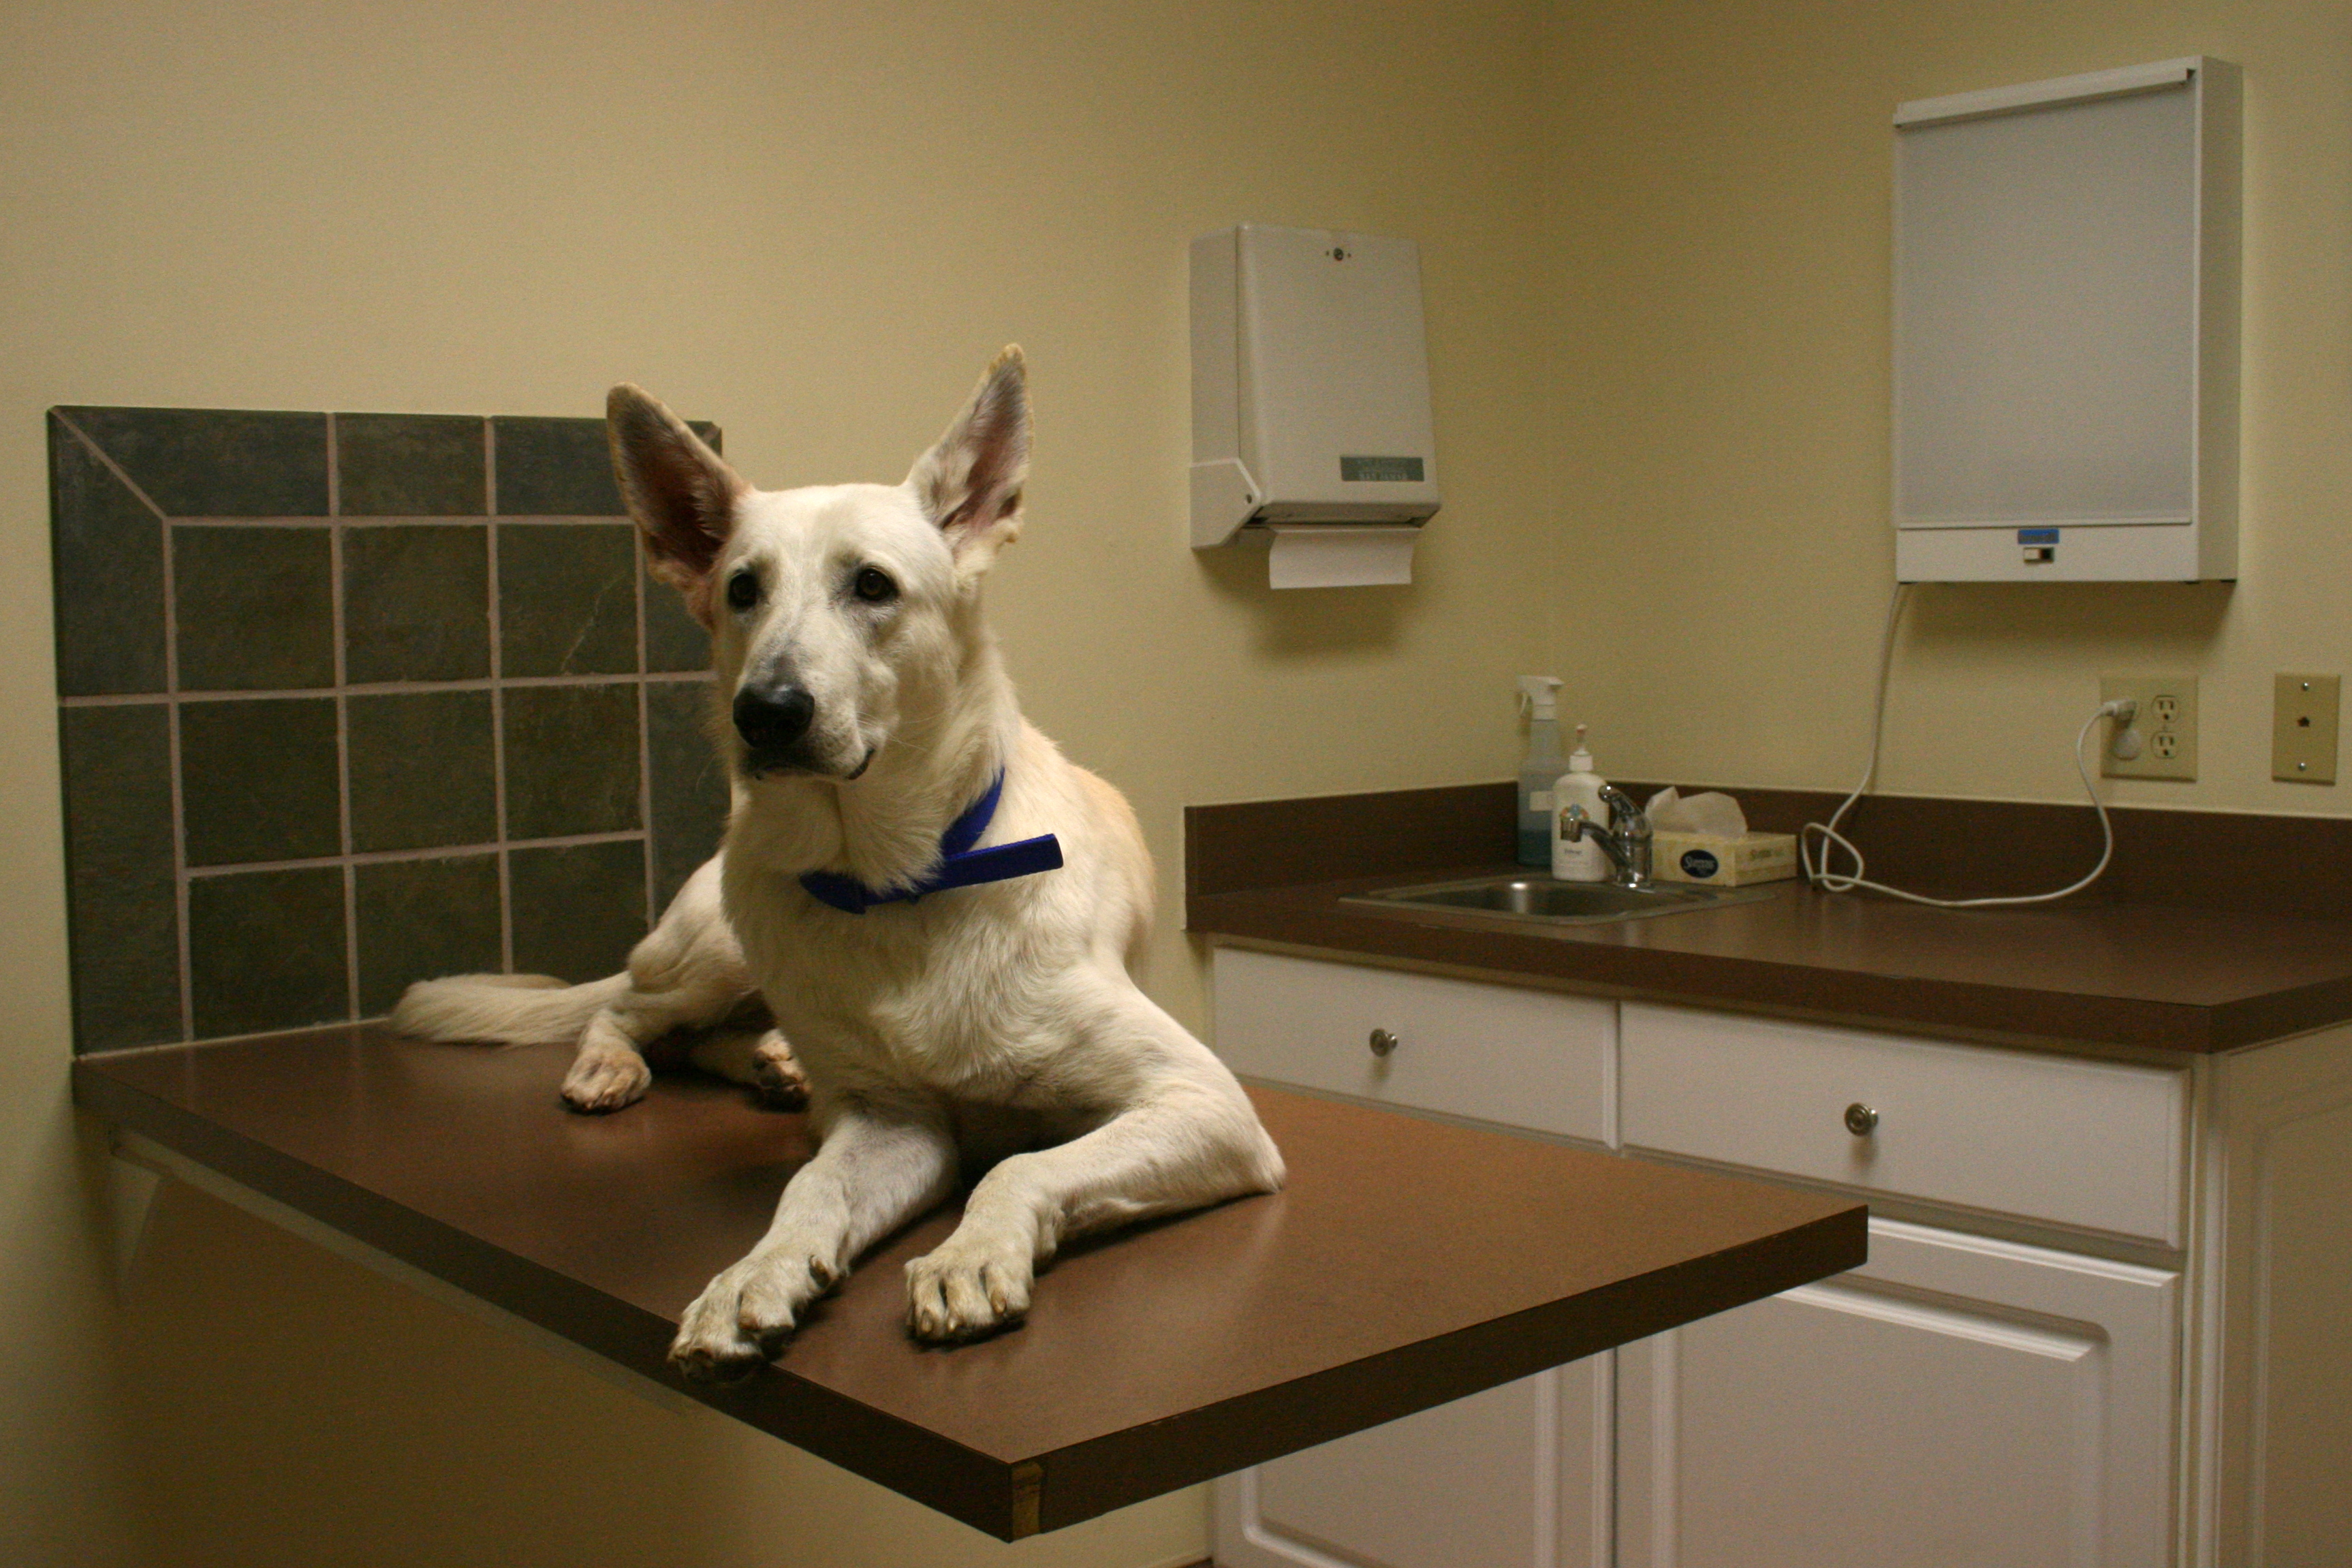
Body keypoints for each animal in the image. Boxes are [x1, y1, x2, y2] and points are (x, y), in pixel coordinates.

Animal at [404, 352, 1289, 1373]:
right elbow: (812, 1190)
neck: (895, 879)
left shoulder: (1202, 1101)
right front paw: (753, 1272)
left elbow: (1021, 1162)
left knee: (702, 1036)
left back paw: (772, 1063)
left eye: (872, 585)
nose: (767, 711)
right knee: (629, 1010)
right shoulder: (892, 1120)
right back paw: (623, 1067)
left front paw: (969, 1253)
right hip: (716, 937)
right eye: (741, 590)